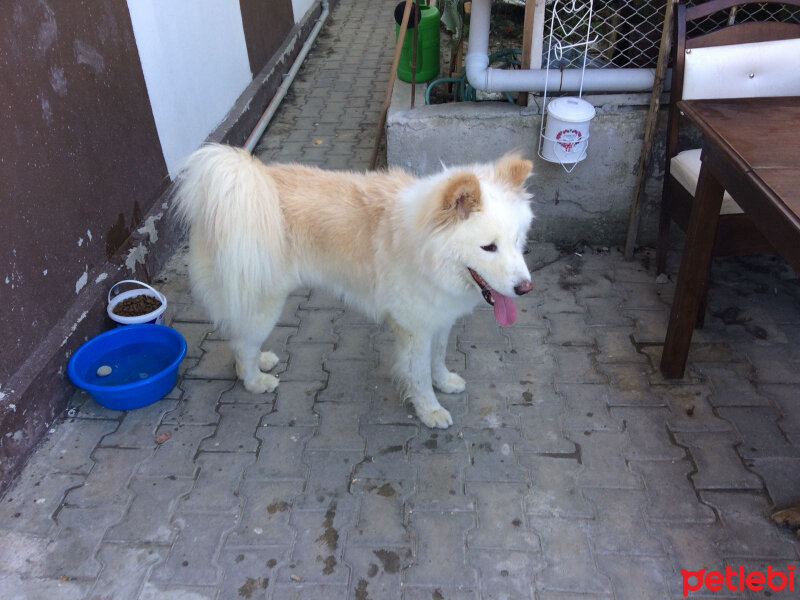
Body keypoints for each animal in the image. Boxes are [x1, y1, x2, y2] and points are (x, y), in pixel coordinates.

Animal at [173, 144, 536, 426]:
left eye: (517, 241)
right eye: (488, 247)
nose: (525, 288)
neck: (425, 248)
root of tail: (235, 192)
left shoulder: (439, 318)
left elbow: (438, 358)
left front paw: (444, 382)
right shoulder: (414, 328)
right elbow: (418, 375)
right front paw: (430, 410)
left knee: (239, 339)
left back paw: (261, 360)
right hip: (263, 304)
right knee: (241, 343)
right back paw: (255, 380)